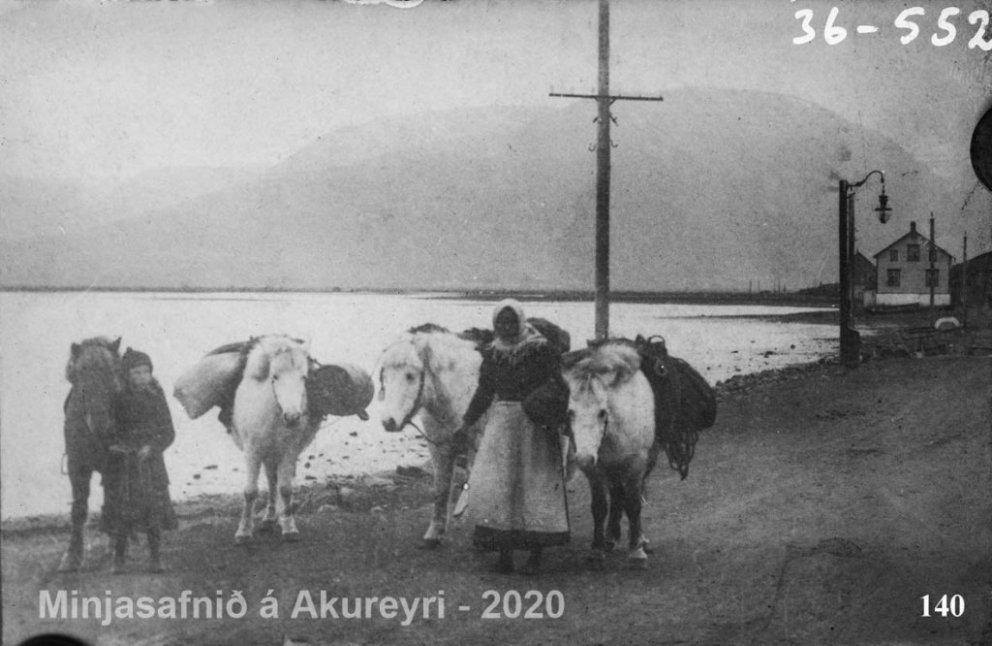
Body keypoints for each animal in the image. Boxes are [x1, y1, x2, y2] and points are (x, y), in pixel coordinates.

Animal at [59, 336, 123, 572]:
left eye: (114, 371)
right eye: (80, 373)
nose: (101, 425)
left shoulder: (115, 465)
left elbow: (113, 502)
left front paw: (114, 548)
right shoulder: (77, 467)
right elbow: (78, 509)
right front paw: (72, 556)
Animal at [229, 335, 316, 544]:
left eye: (304, 377)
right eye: (274, 377)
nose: (292, 417)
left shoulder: (289, 451)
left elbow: (285, 488)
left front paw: (289, 527)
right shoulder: (253, 451)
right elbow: (250, 492)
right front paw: (243, 532)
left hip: (275, 454)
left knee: (275, 482)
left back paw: (277, 518)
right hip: (266, 454)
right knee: (270, 480)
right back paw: (269, 518)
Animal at [562, 341, 662, 569]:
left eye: (602, 412)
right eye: (570, 412)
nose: (583, 458)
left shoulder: (636, 465)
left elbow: (634, 504)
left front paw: (636, 552)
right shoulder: (596, 471)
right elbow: (599, 507)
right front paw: (597, 550)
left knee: (633, 497)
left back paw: (640, 539)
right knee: (617, 495)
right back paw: (611, 537)